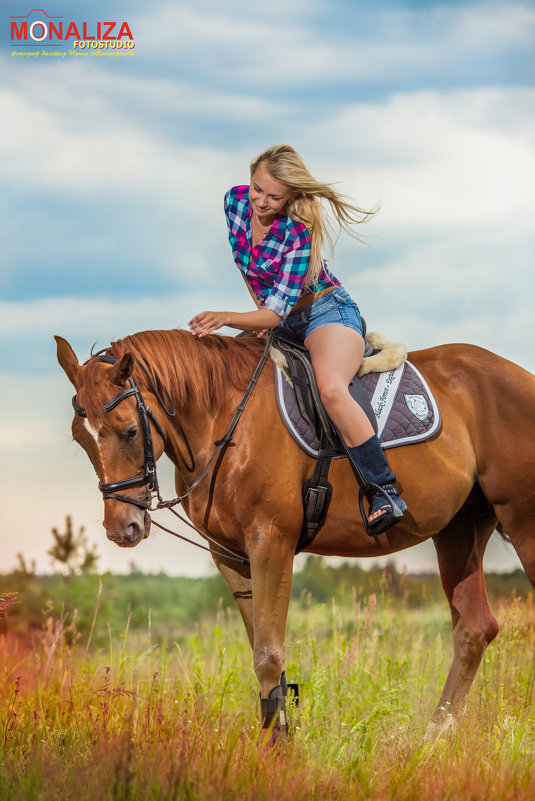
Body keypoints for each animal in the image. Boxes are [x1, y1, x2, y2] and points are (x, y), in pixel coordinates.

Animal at [55, 330, 535, 736]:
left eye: (130, 431)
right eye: (80, 438)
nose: (122, 528)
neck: (224, 421)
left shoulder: (271, 543)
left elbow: (269, 656)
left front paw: (277, 754)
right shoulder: (231, 556)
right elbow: (264, 654)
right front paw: (276, 741)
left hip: (522, 523)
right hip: (460, 529)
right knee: (474, 630)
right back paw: (432, 740)